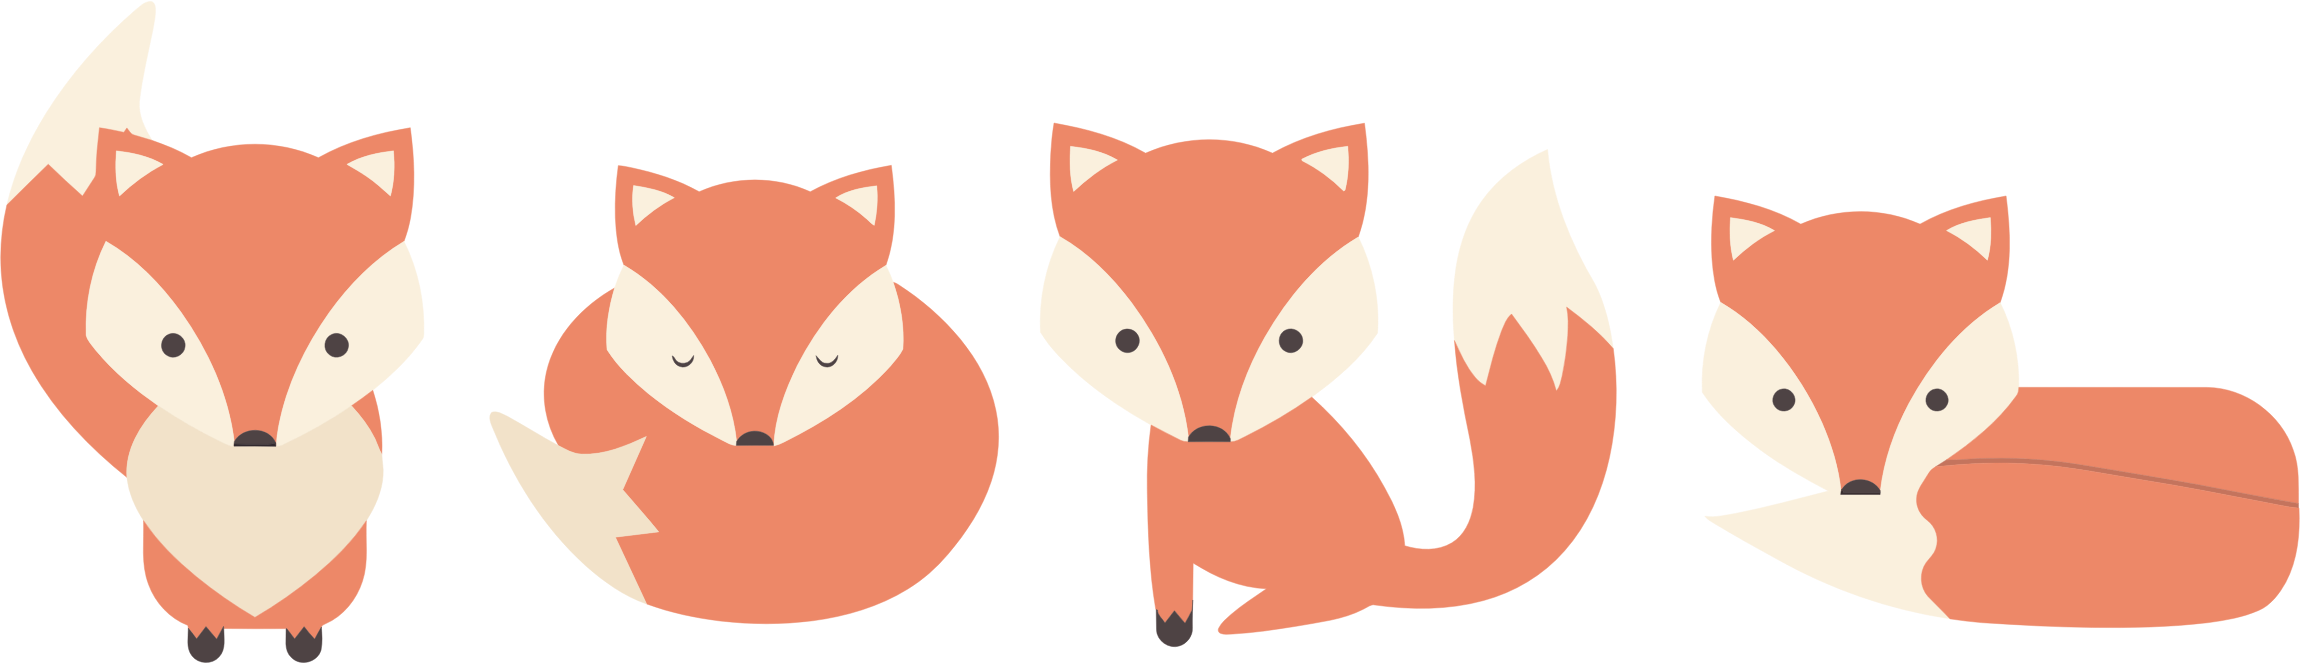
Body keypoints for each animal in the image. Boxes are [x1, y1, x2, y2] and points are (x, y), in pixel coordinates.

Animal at [2, 4, 422, 662]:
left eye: (338, 346)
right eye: (170, 346)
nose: (254, 440)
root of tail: (255, 622)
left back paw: (301, 639)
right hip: (171, 574)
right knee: (201, 615)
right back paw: (207, 639)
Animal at [1040, 123, 1616, 646]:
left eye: (1291, 341)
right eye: (1125, 341)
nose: (1208, 435)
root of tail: (1395, 558)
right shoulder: (1163, 521)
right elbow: (1170, 592)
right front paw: (1174, 630)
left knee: (1339, 599)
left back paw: (1258, 615)